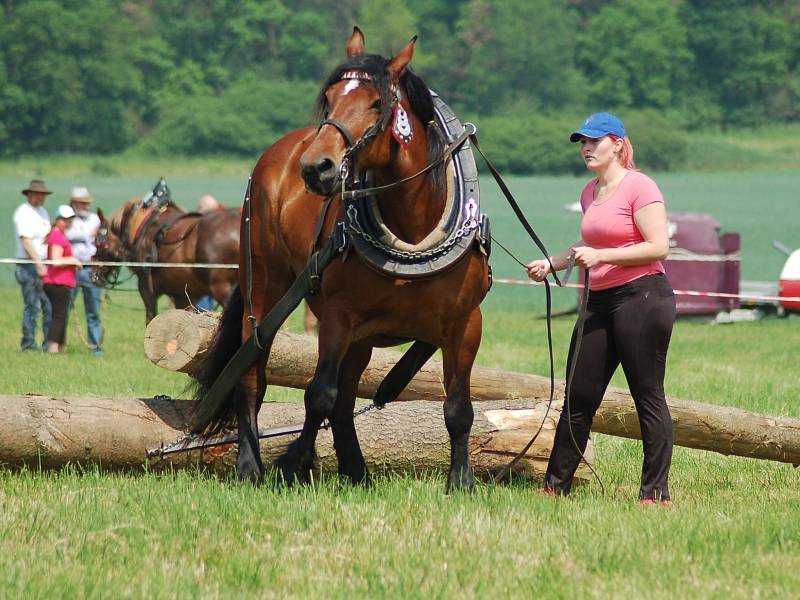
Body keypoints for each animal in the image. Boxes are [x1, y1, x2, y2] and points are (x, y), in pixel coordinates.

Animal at [92, 193, 239, 324]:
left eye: (97, 243)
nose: (93, 275)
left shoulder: (146, 288)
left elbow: (150, 319)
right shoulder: (184, 295)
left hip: (222, 288)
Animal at [191, 25, 490, 490]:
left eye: (376, 103)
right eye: (329, 99)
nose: (316, 167)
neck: (412, 231)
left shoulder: (465, 324)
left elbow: (458, 406)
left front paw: (460, 480)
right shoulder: (336, 316)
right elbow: (318, 394)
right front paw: (293, 463)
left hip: (363, 336)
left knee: (348, 398)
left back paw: (355, 469)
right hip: (265, 289)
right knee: (253, 375)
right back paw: (250, 466)